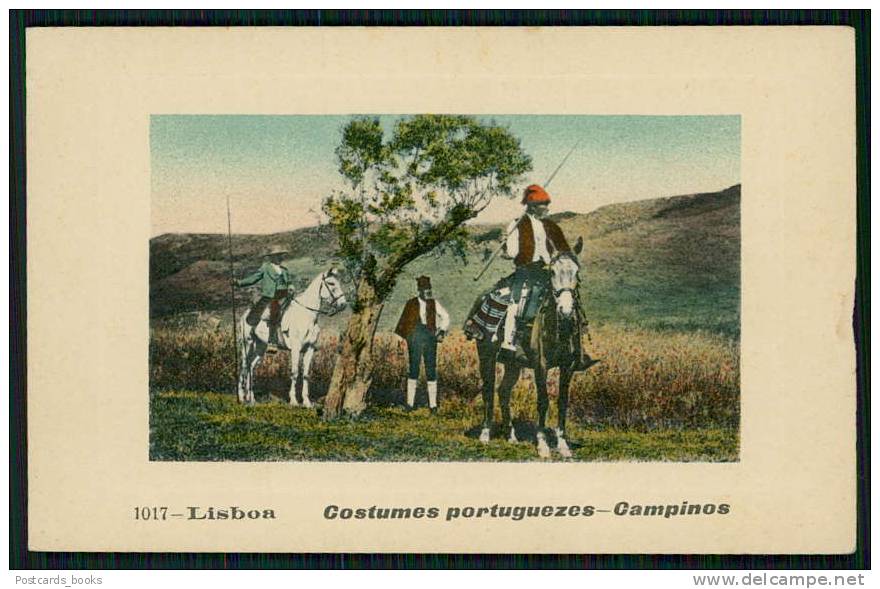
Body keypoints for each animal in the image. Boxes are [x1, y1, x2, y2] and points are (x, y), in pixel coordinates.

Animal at [237, 268, 348, 406]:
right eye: (331, 283)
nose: (343, 304)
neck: (306, 314)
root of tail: (245, 315)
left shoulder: (310, 349)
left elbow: (305, 374)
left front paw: (307, 402)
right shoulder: (295, 348)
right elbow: (294, 373)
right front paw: (294, 401)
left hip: (260, 347)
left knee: (251, 367)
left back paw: (251, 398)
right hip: (247, 345)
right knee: (244, 367)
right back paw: (241, 397)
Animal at [474, 237, 600, 458]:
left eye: (577, 272)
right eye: (552, 272)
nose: (566, 310)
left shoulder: (568, 367)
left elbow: (562, 402)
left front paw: (563, 444)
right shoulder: (541, 365)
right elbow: (543, 401)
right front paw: (542, 444)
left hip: (513, 364)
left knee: (503, 392)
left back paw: (511, 436)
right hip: (486, 356)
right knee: (488, 390)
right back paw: (485, 434)